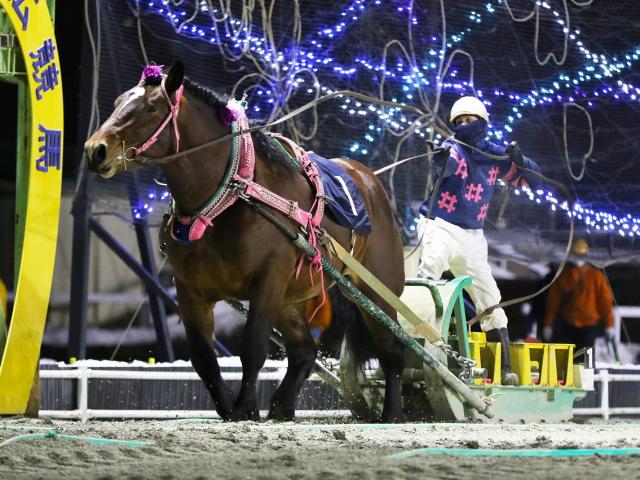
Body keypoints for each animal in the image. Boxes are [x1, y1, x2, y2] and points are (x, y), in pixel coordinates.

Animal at [85, 61, 404, 420]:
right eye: (117, 102)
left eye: (151, 108)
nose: (95, 150)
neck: (228, 199)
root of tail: (368, 179)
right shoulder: (190, 289)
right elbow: (203, 358)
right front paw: (228, 407)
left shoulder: (268, 280)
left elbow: (253, 346)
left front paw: (246, 407)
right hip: (289, 299)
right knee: (304, 350)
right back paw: (282, 407)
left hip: (377, 293)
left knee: (392, 351)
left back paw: (393, 414)